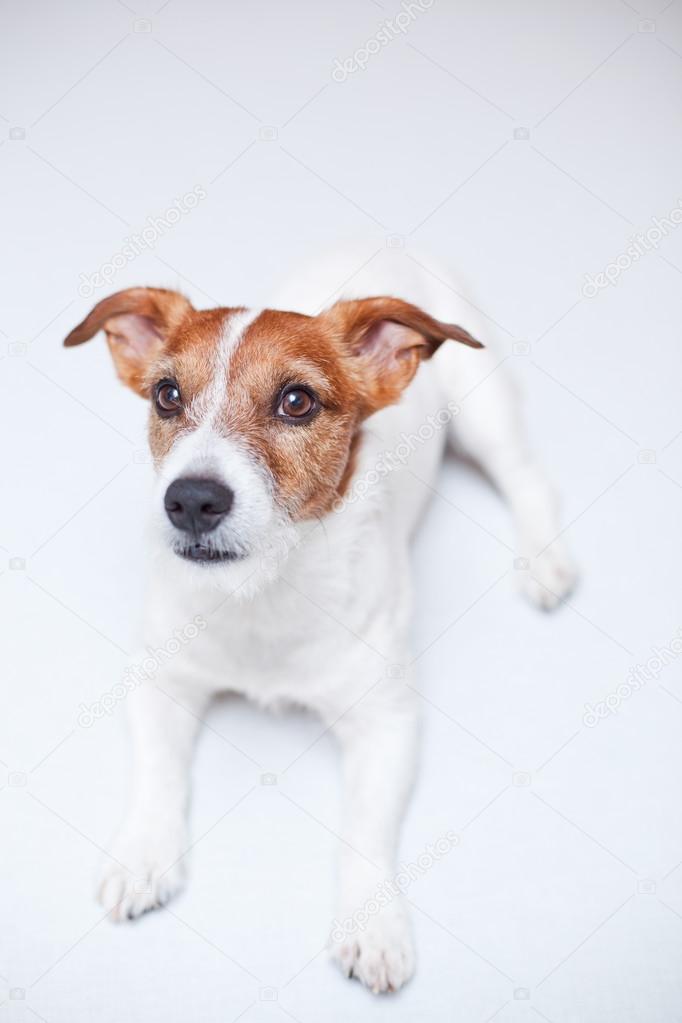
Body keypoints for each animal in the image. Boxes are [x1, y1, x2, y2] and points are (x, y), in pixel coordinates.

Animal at [65, 243, 576, 994]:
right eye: (167, 395)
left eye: (297, 401)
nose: (190, 500)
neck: (263, 592)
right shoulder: (157, 681)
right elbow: (158, 773)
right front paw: (142, 855)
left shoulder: (387, 723)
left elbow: (365, 827)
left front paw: (374, 924)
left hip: (484, 404)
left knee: (526, 474)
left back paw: (545, 561)